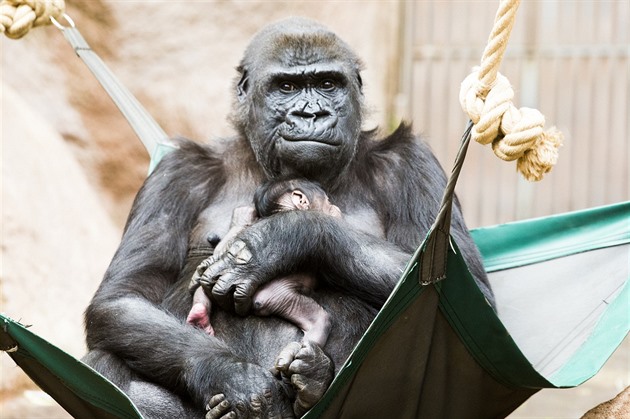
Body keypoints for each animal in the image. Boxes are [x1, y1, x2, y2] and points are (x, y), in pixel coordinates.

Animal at [189, 178, 340, 348]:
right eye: (327, 201)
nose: (334, 206)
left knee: (204, 288)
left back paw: (199, 315)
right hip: (282, 297)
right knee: (320, 320)